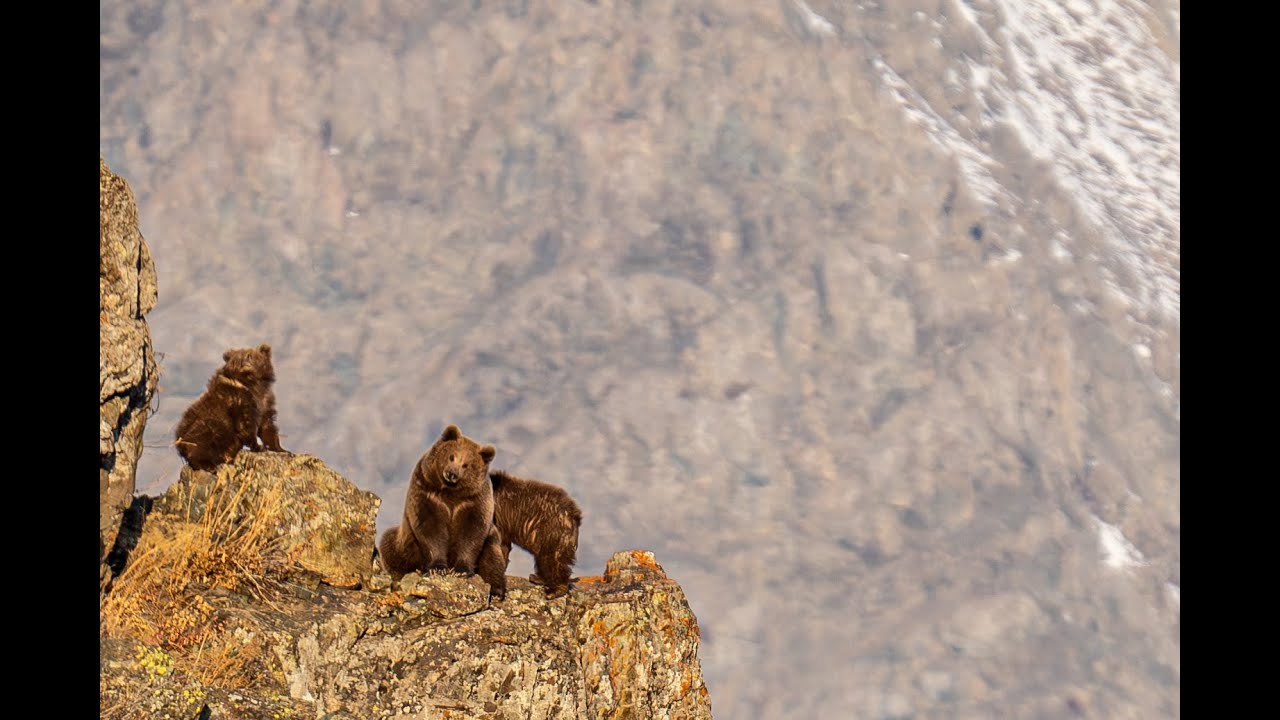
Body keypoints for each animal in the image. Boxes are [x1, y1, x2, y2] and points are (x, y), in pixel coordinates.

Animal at [379, 424, 507, 600]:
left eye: (466, 464)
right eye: (451, 456)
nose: (452, 474)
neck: (451, 493)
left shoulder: (474, 502)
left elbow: (471, 534)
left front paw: (461, 570)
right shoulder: (428, 494)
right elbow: (431, 529)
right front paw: (438, 567)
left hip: (492, 541)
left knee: (493, 558)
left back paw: (496, 590)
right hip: (403, 545)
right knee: (390, 545)